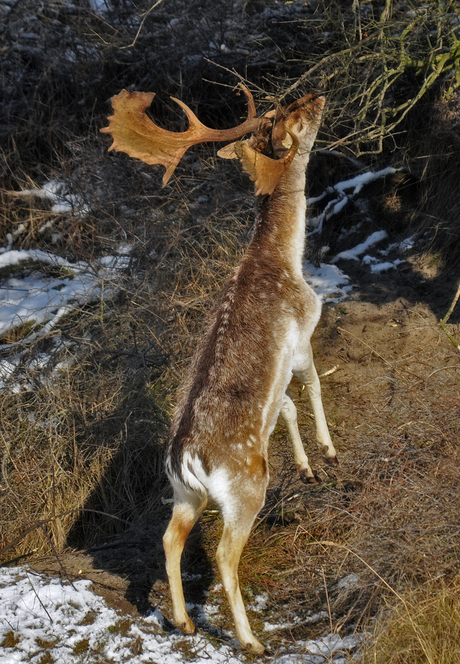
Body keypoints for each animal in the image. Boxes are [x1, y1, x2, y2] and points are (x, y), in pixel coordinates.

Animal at [101, 85, 338, 656]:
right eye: (294, 116)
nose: (318, 93)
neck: (288, 260)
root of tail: (186, 457)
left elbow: (287, 406)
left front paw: (306, 467)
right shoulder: (304, 331)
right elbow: (312, 388)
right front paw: (328, 451)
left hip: (185, 494)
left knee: (169, 538)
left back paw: (185, 622)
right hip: (245, 487)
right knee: (226, 556)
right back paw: (251, 641)